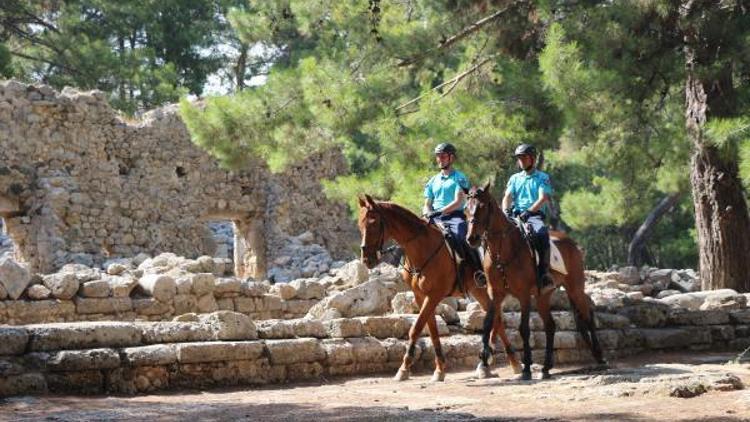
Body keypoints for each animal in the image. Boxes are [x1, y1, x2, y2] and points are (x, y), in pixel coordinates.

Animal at [356, 195, 524, 382]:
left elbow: (416, 329)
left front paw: (404, 368)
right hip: (479, 291)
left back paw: (505, 363)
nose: (367, 259)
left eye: (373, 223)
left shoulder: (434, 295)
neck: (422, 247)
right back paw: (491, 365)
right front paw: (439, 369)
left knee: (497, 319)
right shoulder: (421, 296)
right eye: (360, 225)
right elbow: (432, 330)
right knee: (497, 320)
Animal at [468, 183, 608, 380]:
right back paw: (546, 367)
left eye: (482, 206)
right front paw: (484, 357)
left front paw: (526, 368)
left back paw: (600, 358)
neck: (503, 251)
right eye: (467, 208)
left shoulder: (524, 295)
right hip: (543, 296)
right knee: (550, 326)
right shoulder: (495, 293)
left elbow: (524, 329)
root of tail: (572, 243)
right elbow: (488, 323)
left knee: (587, 317)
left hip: (575, 289)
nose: (471, 238)